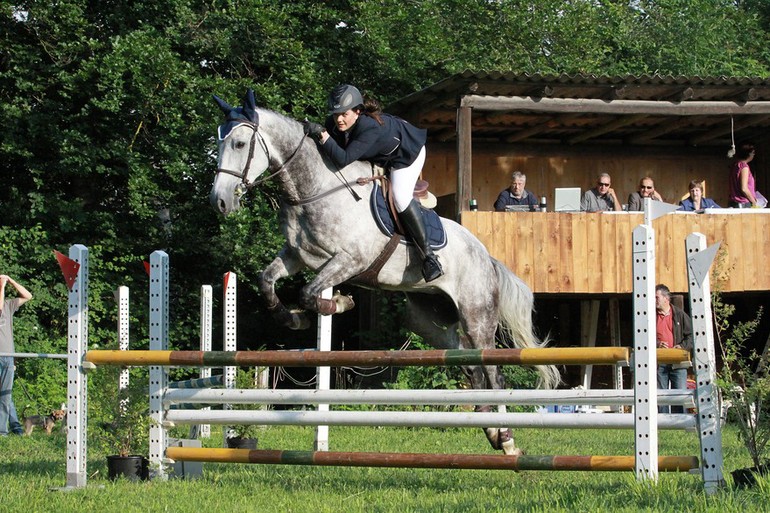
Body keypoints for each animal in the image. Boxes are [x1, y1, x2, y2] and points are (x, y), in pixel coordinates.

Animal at [208, 90, 560, 454]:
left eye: (238, 143)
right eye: (217, 142)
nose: (219, 201)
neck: (313, 189)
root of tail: (487, 257)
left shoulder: (349, 260)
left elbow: (308, 293)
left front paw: (338, 303)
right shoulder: (297, 256)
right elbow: (267, 281)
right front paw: (293, 319)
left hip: (477, 316)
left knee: (492, 372)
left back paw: (507, 440)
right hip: (428, 320)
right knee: (467, 364)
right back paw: (490, 431)